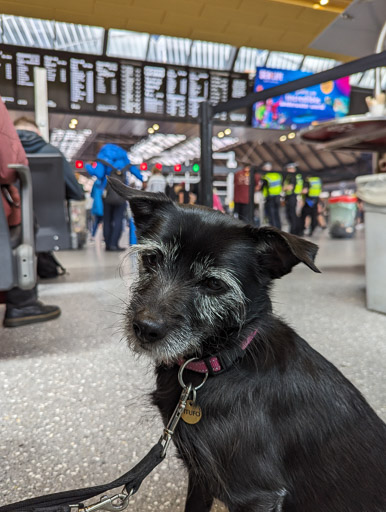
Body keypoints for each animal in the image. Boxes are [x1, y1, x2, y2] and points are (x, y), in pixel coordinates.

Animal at [108, 180, 386, 512]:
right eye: (152, 259)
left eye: (214, 284)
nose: (145, 328)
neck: (221, 362)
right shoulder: (201, 475)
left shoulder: (257, 495)